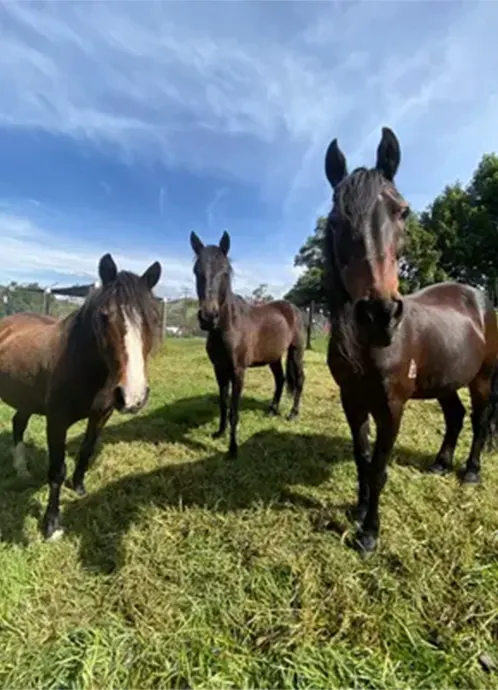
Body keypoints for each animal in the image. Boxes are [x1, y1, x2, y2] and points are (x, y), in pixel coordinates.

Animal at [0, 251, 161, 536]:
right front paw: (51, 524)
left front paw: (79, 488)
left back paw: (21, 470)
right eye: (104, 316)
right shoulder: (56, 421)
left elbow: (86, 451)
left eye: (152, 318)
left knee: (18, 423)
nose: (133, 397)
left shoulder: (101, 416)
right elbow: (56, 469)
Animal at [190, 231, 304, 456]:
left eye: (225, 272)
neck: (228, 327)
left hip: (296, 352)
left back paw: (293, 414)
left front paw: (233, 449)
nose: (208, 317)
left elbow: (234, 410)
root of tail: (292, 309)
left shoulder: (238, 371)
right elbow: (223, 404)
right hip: (274, 357)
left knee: (300, 380)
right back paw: (272, 410)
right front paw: (220, 433)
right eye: (196, 271)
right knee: (280, 380)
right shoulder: (220, 370)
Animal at [320, 125, 498, 552]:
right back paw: (440, 463)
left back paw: (471, 472)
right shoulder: (352, 401)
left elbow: (379, 468)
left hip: (483, 378)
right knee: (455, 415)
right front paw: (358, 510)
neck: (368, 349)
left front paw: (370, 533)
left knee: (480, 419)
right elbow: (362, 458)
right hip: (445, 381)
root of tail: (480, 298)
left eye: (402, 211)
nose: (379, 315)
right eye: (335, 220)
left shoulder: (392, 407)